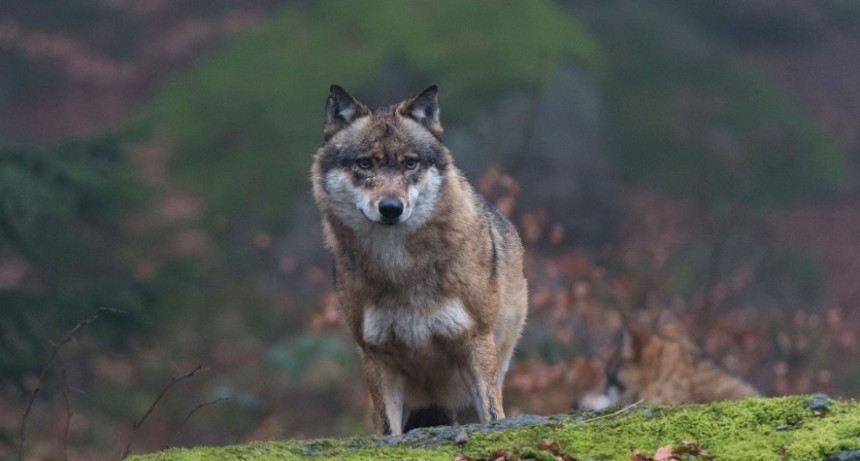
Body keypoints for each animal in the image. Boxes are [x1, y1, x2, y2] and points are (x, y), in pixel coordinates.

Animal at [311, 85, 528, 435]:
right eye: (365, 163)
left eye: (410, 164)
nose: (391, 208)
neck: (400, 268)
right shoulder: (376, 356)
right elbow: (389, 431)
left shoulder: (476, 343)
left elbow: (493, 416)